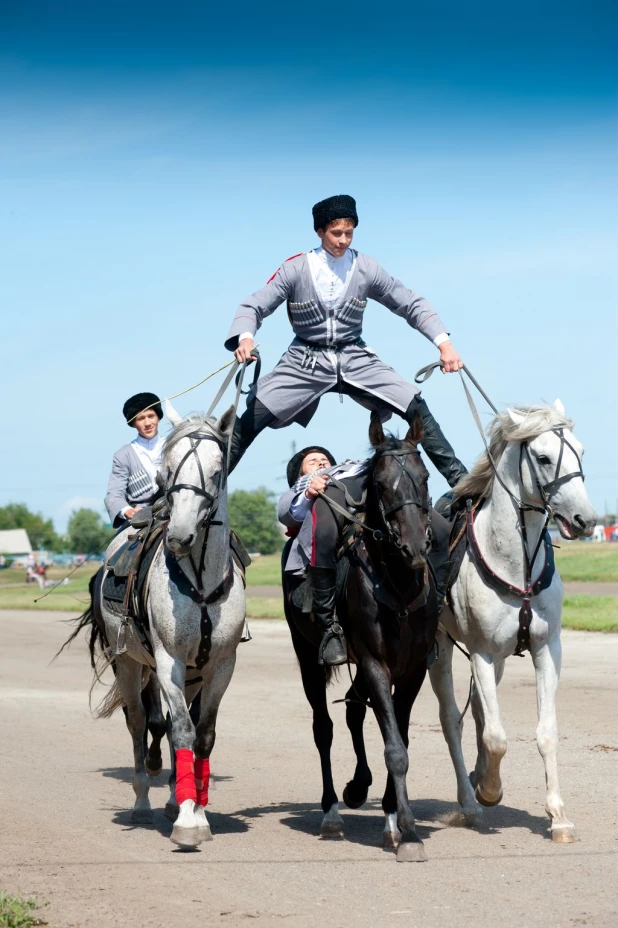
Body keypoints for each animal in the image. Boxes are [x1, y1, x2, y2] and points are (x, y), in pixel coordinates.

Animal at [92, 404, 244, 848]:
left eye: (217, 470)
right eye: (168, 470)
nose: (179, 535)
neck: (201, 583)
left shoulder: (221, 666)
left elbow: (203, 735)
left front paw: (195, 807)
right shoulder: (168, 661)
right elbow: (179, 730)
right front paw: (189, 822)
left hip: (191, 674)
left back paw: (175, 797)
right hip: (128, 664)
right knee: (139, 722)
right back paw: (143, 801)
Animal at [282, 414, 440, 864]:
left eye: (424, 477)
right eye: (382, 484)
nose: (415, 546)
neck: (399, 585)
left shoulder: (412, 670)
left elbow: (399, 738)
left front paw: (392, 817)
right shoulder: (375, 662)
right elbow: (395, 749)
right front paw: (409, 832)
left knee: (353, 710)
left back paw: (358, 788)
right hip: (309, 657)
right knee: (324, 727)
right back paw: (332, 811)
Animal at [426, 398, 596, 840]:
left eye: (581, 451)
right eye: (543, 457)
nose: (586, 520)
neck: (515, 563)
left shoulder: (546, 649)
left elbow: (545, 733)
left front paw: (558, 816)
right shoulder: (482, 654)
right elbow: (497, 737)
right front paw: (489, 790)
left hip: (500, 659)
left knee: (478, 711)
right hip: (441, 650)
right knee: (452, 719)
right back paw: (470, 801)